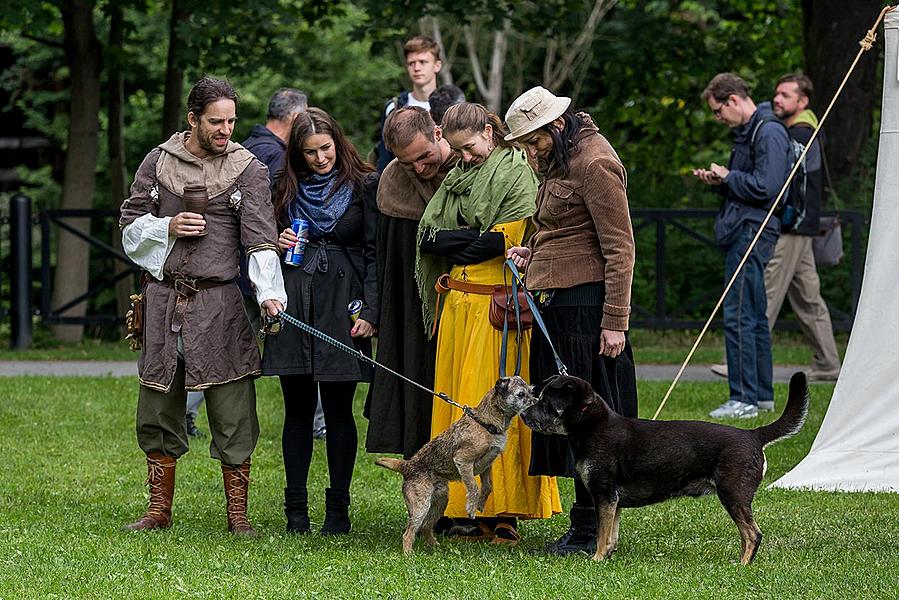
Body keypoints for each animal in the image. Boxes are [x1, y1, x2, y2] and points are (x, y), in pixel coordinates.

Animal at [378, 378, 536, 556]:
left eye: (531, 391)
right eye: (520, 394)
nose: (537, 401)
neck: (486, 423)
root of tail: (407, 466)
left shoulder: (486, 466)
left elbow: (488, 486)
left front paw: (481, 504)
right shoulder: (463, 461)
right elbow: (473, 487)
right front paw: (471, 508)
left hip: (440, 502)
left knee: (426, 527)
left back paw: (435, 547)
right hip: (421, 505)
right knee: (409, 533)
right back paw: (408, 555)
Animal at [520, 372, 808, 564]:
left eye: (545, 402)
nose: (523, 415)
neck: (591, 425)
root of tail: (754, 435)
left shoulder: (603, 494)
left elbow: (602, 535)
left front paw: (597, 559)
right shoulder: (614, 501)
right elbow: (611, 534)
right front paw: (608, 557)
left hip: (733, 494)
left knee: (752, 534)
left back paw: (742, 565)